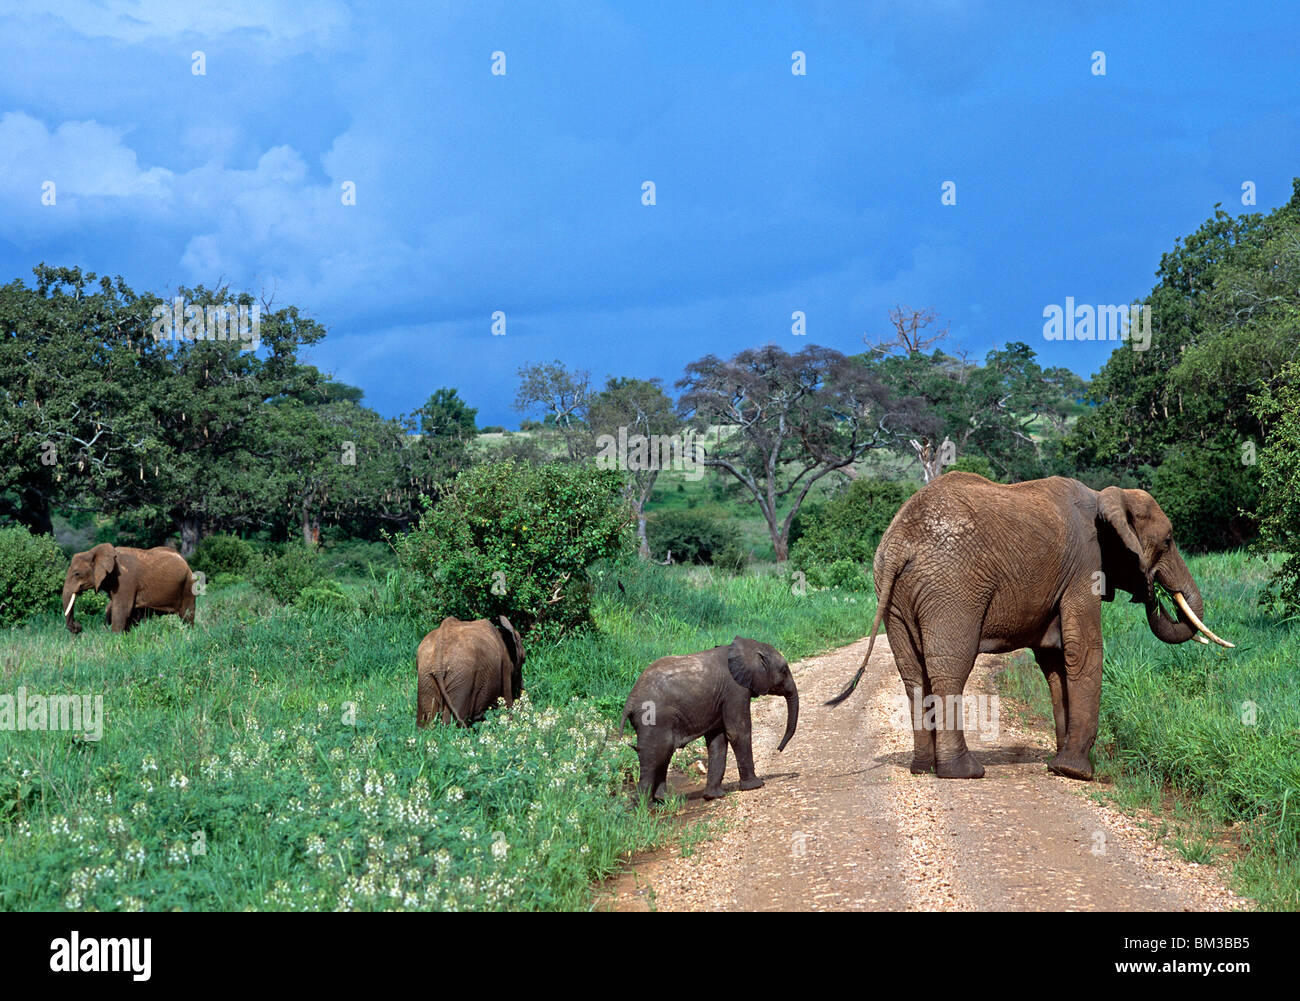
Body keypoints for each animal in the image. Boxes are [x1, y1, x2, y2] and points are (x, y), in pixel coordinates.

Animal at [62, 540, 195, 634]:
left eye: (77, 574)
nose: (78, 627)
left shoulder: (125, 580)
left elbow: (121, 609)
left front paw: (114, 638)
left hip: (188, 584)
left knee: (187, 616)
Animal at [616, 634, 790, 800]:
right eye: (784, 670)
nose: (779, 749)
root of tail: (630, 701)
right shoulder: (735, 690)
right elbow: (737, 732)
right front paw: (756, 786)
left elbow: (717, 740)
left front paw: (713, 796)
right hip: (654, 718)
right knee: (656, 755)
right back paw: (643, 805)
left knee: (663, 754)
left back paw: (663, 800)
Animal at [826, 473, 1232, 780]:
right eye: (1168, 541)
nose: (1154, 591)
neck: (1106, 496)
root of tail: (899, 543)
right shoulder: (1085, 567)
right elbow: (1083, 650)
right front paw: (1076, 772)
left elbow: (1054, 659)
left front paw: (1059, 763)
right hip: (952, 588)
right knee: (951, 668)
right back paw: (964, 772)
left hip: (893, 594)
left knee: (912, 673)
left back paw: (923, 769)